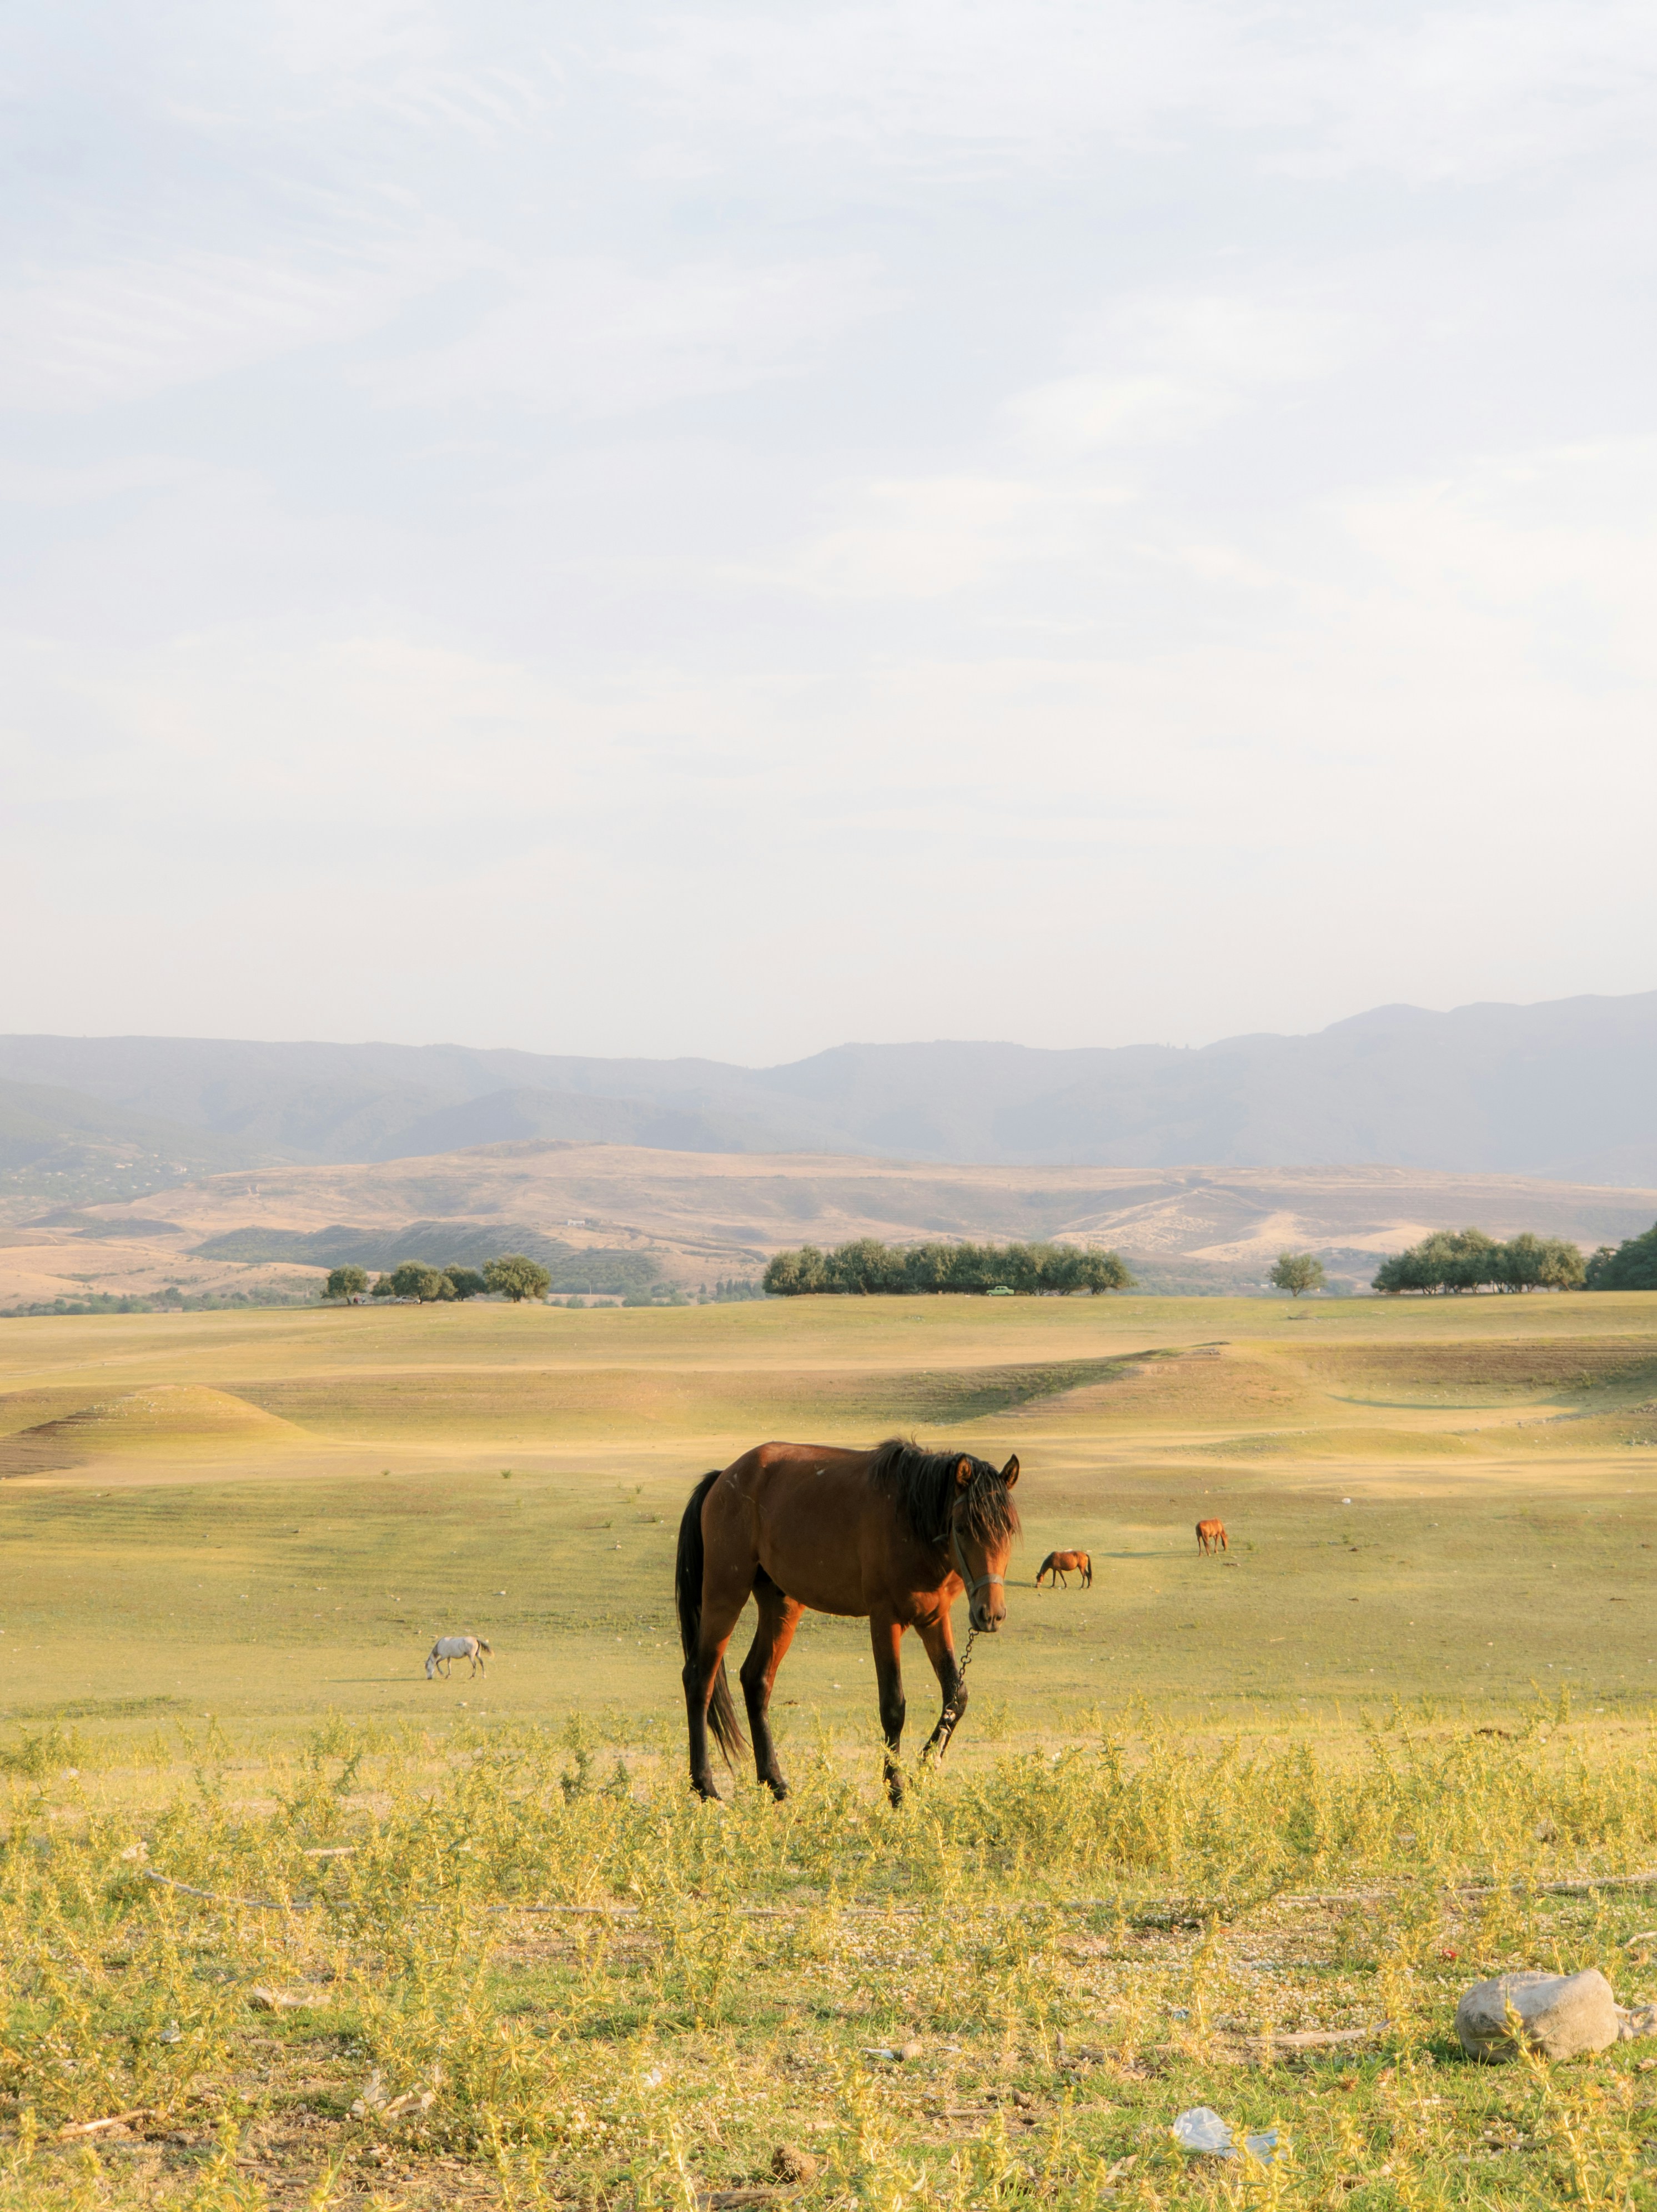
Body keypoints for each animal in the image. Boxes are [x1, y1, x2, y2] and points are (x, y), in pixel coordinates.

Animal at [675, 1438, 1020, 1805]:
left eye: (1009, 1531)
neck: (910, 1519)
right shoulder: (885, 1620)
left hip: (781, 1605)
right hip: (725, 1596)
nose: (991, 1614)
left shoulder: (934, 1620)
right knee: (700, 1679)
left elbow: (956, 1697)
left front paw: (924, 1769)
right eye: (962, 1528)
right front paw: (896, 1788)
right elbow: (893, 1707)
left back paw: (775, 1782)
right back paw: (705, 1786)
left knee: (757, 1680)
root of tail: (724, 1476)